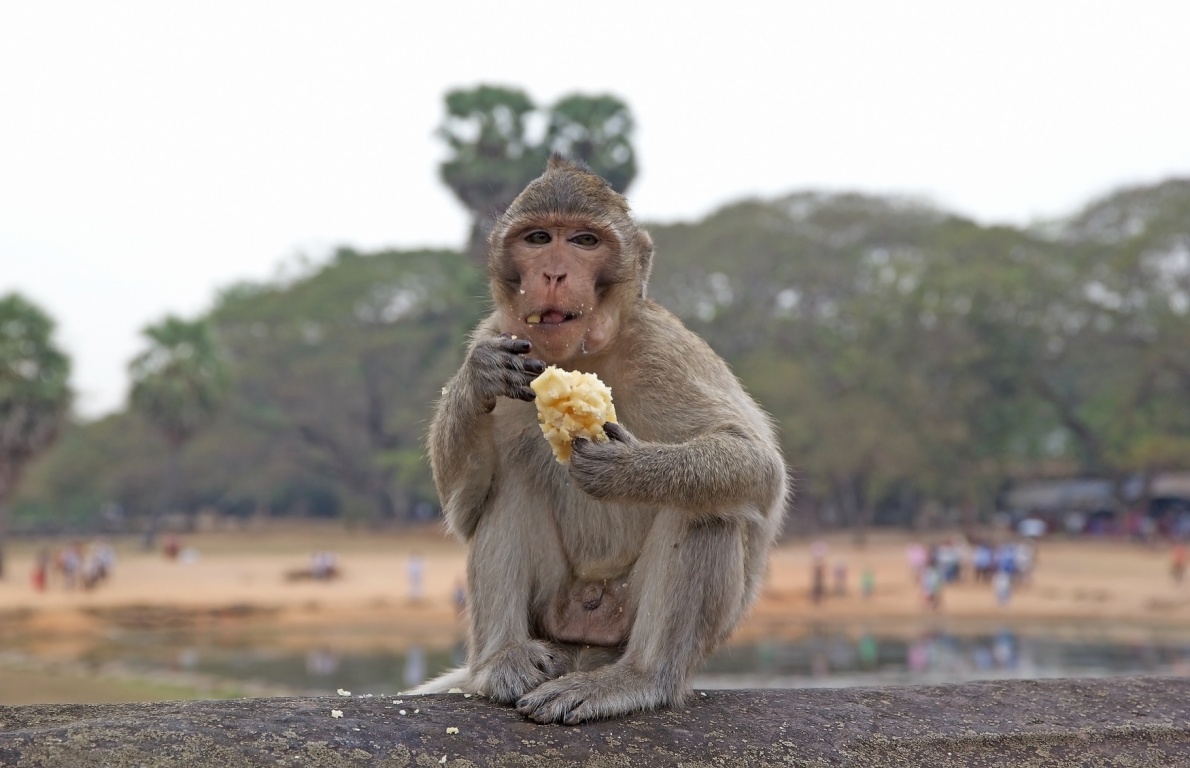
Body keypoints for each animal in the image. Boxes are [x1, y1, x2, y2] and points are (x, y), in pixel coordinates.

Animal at [411, 155, 787, 725]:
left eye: (585, 241)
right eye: (539, 238)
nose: (554, 273)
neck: (582, 355)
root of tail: (585, 639)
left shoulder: (663, 350)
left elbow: (757, 466)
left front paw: (624, 469)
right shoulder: (496, 332)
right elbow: (464, 506)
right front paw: (479, 378)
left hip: (626, 618)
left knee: (708, 507)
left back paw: (637, 679)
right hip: (555, 613)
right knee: (509, 486)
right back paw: (503, 660)